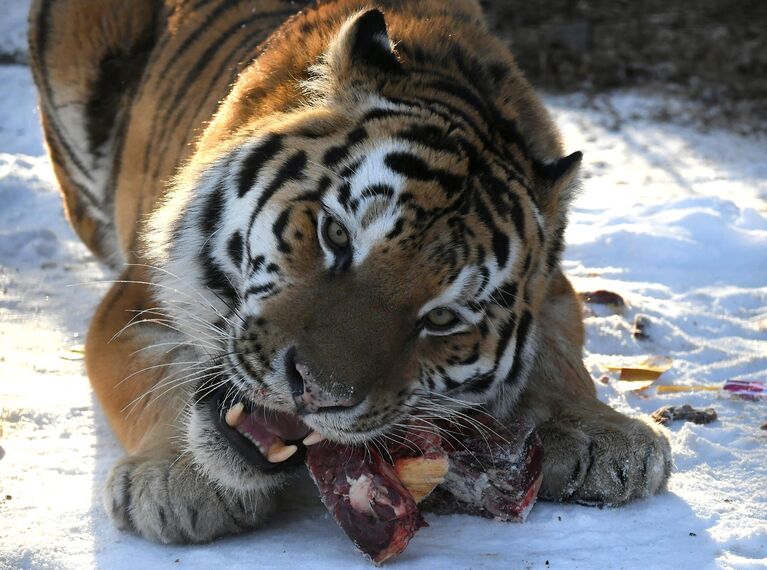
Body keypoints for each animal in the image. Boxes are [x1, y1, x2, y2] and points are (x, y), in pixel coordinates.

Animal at [27, 0, 668, 544]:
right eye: (336, 235)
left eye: (441, 319)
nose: (314, 391)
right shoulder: (135, 296)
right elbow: (154, 373)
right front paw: (179, 480)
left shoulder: (553, 285)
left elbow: (559, 348)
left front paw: (604, 437)